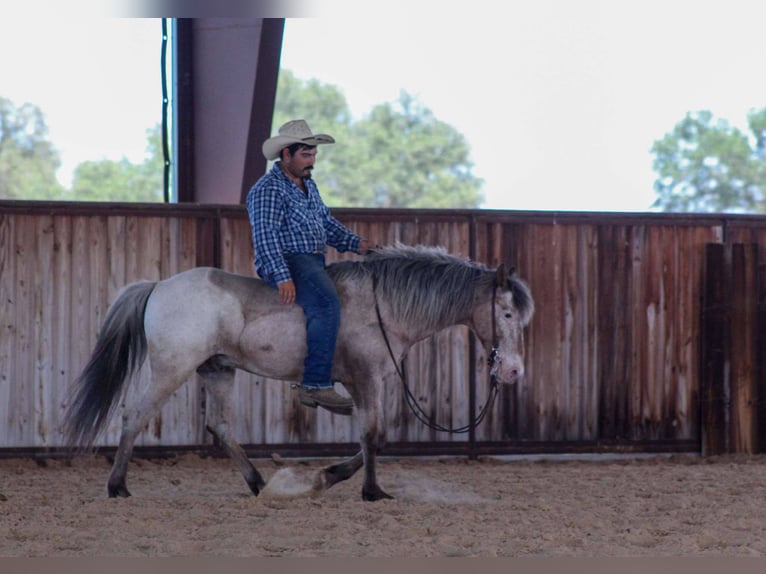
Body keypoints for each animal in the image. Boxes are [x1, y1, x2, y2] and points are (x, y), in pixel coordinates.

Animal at [63, 244, 535, 501]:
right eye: (507, 313)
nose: (513, 371)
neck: (383, 304)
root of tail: (159, 286)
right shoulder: (365, 379)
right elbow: (373, 436)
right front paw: (370, 491)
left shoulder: (368, 384)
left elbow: (375, 438)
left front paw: (330, 476)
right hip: (171, 369)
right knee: (135, 414)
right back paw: (117, 486)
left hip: (217, 371)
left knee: (219, 425)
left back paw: (257, 483)